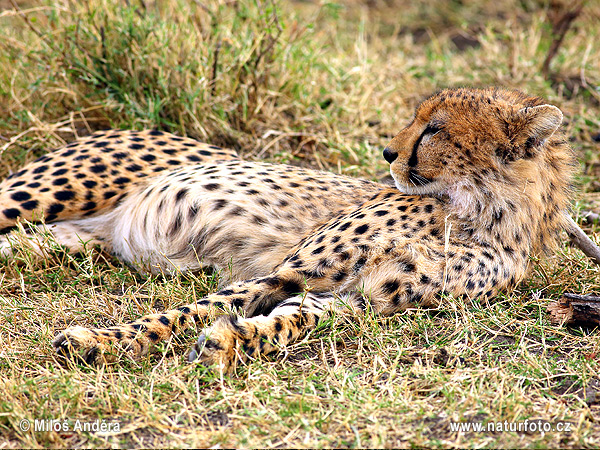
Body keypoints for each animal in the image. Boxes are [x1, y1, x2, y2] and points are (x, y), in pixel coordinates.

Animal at [0, 88, 576, 372]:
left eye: (434, 129)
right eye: (421, 119)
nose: (388, 153)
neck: (474, 212)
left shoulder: (357, 299)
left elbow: (292, 321)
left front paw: (232, 343)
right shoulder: (286, 271)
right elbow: (183, 313)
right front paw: (100, 342)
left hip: (67, 238)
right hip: (43, 193)